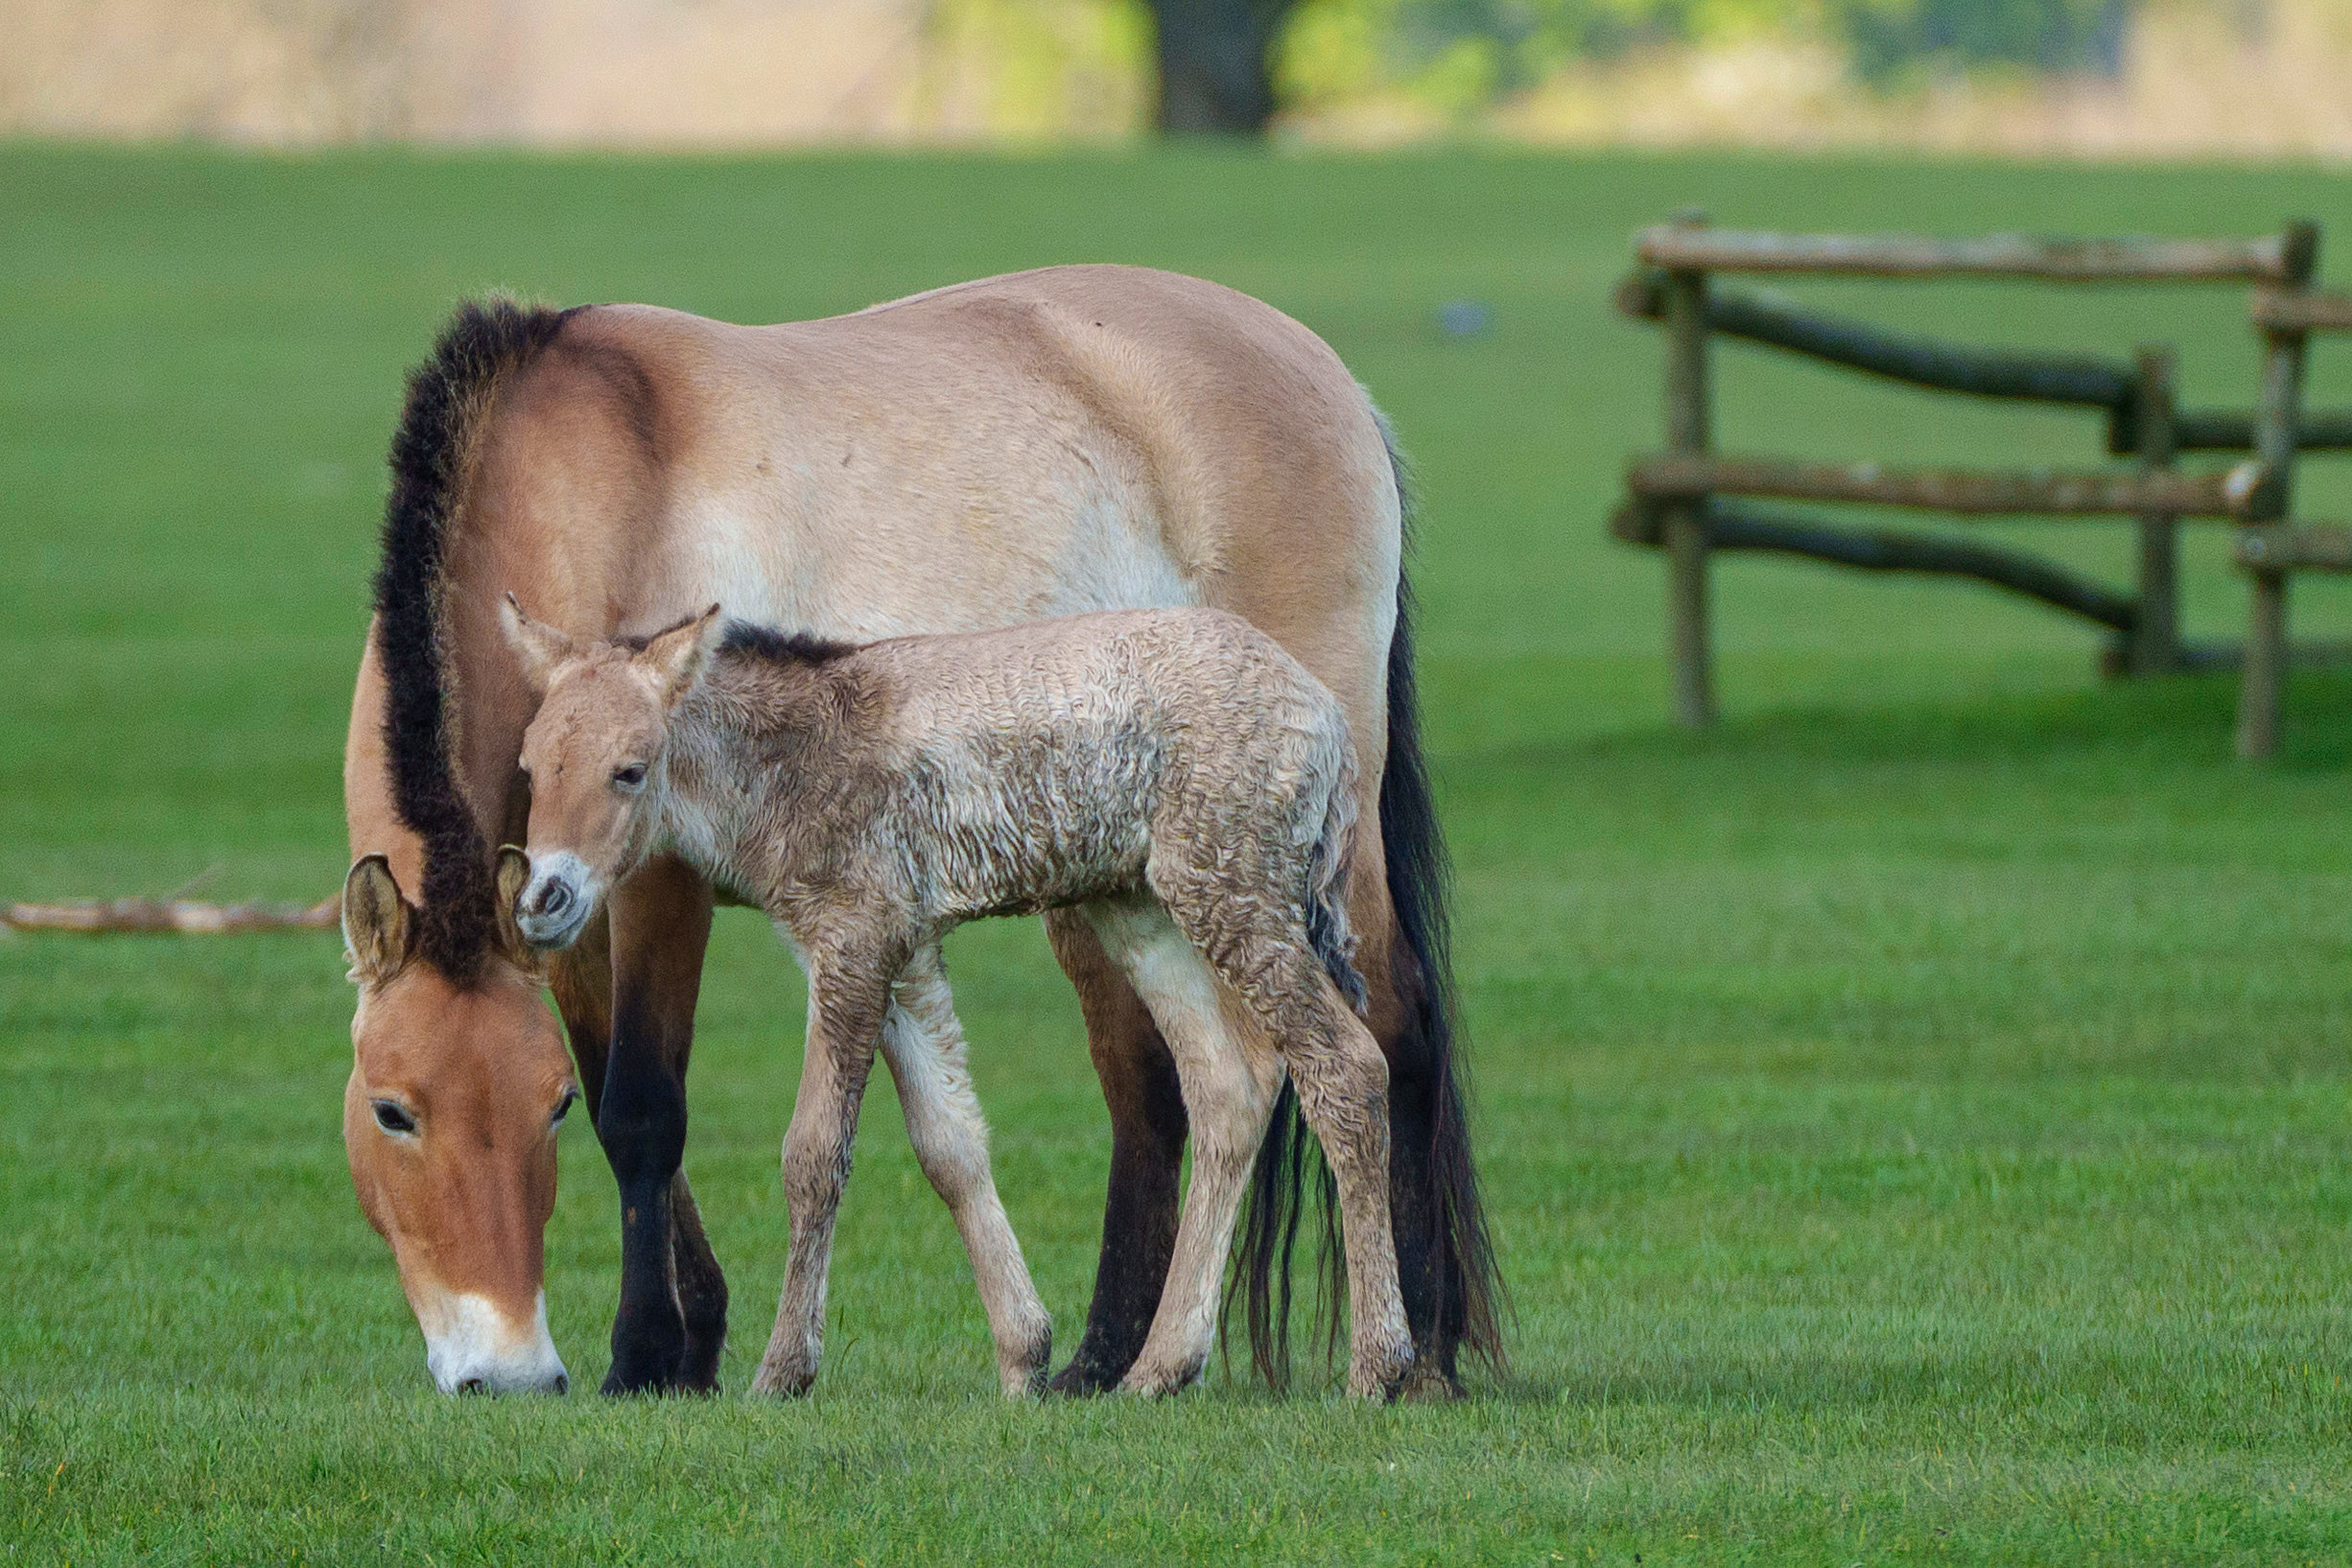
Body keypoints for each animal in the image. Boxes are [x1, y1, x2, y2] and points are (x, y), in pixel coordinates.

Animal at [501, 597, 1411, 1400]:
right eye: (531, 768)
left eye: (630, 770)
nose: (544, 898)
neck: (789, 762)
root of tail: (1328, 716)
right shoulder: (904, 953)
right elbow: (951, 1145)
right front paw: (1022, 1361)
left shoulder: (853, 940)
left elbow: (813, 1153)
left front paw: (783, 1371)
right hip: (1141, 904)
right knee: (1230, 1084)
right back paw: (1158, 1369)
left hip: (1233, 894)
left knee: (1346, 1067)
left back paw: (1379, 1366)